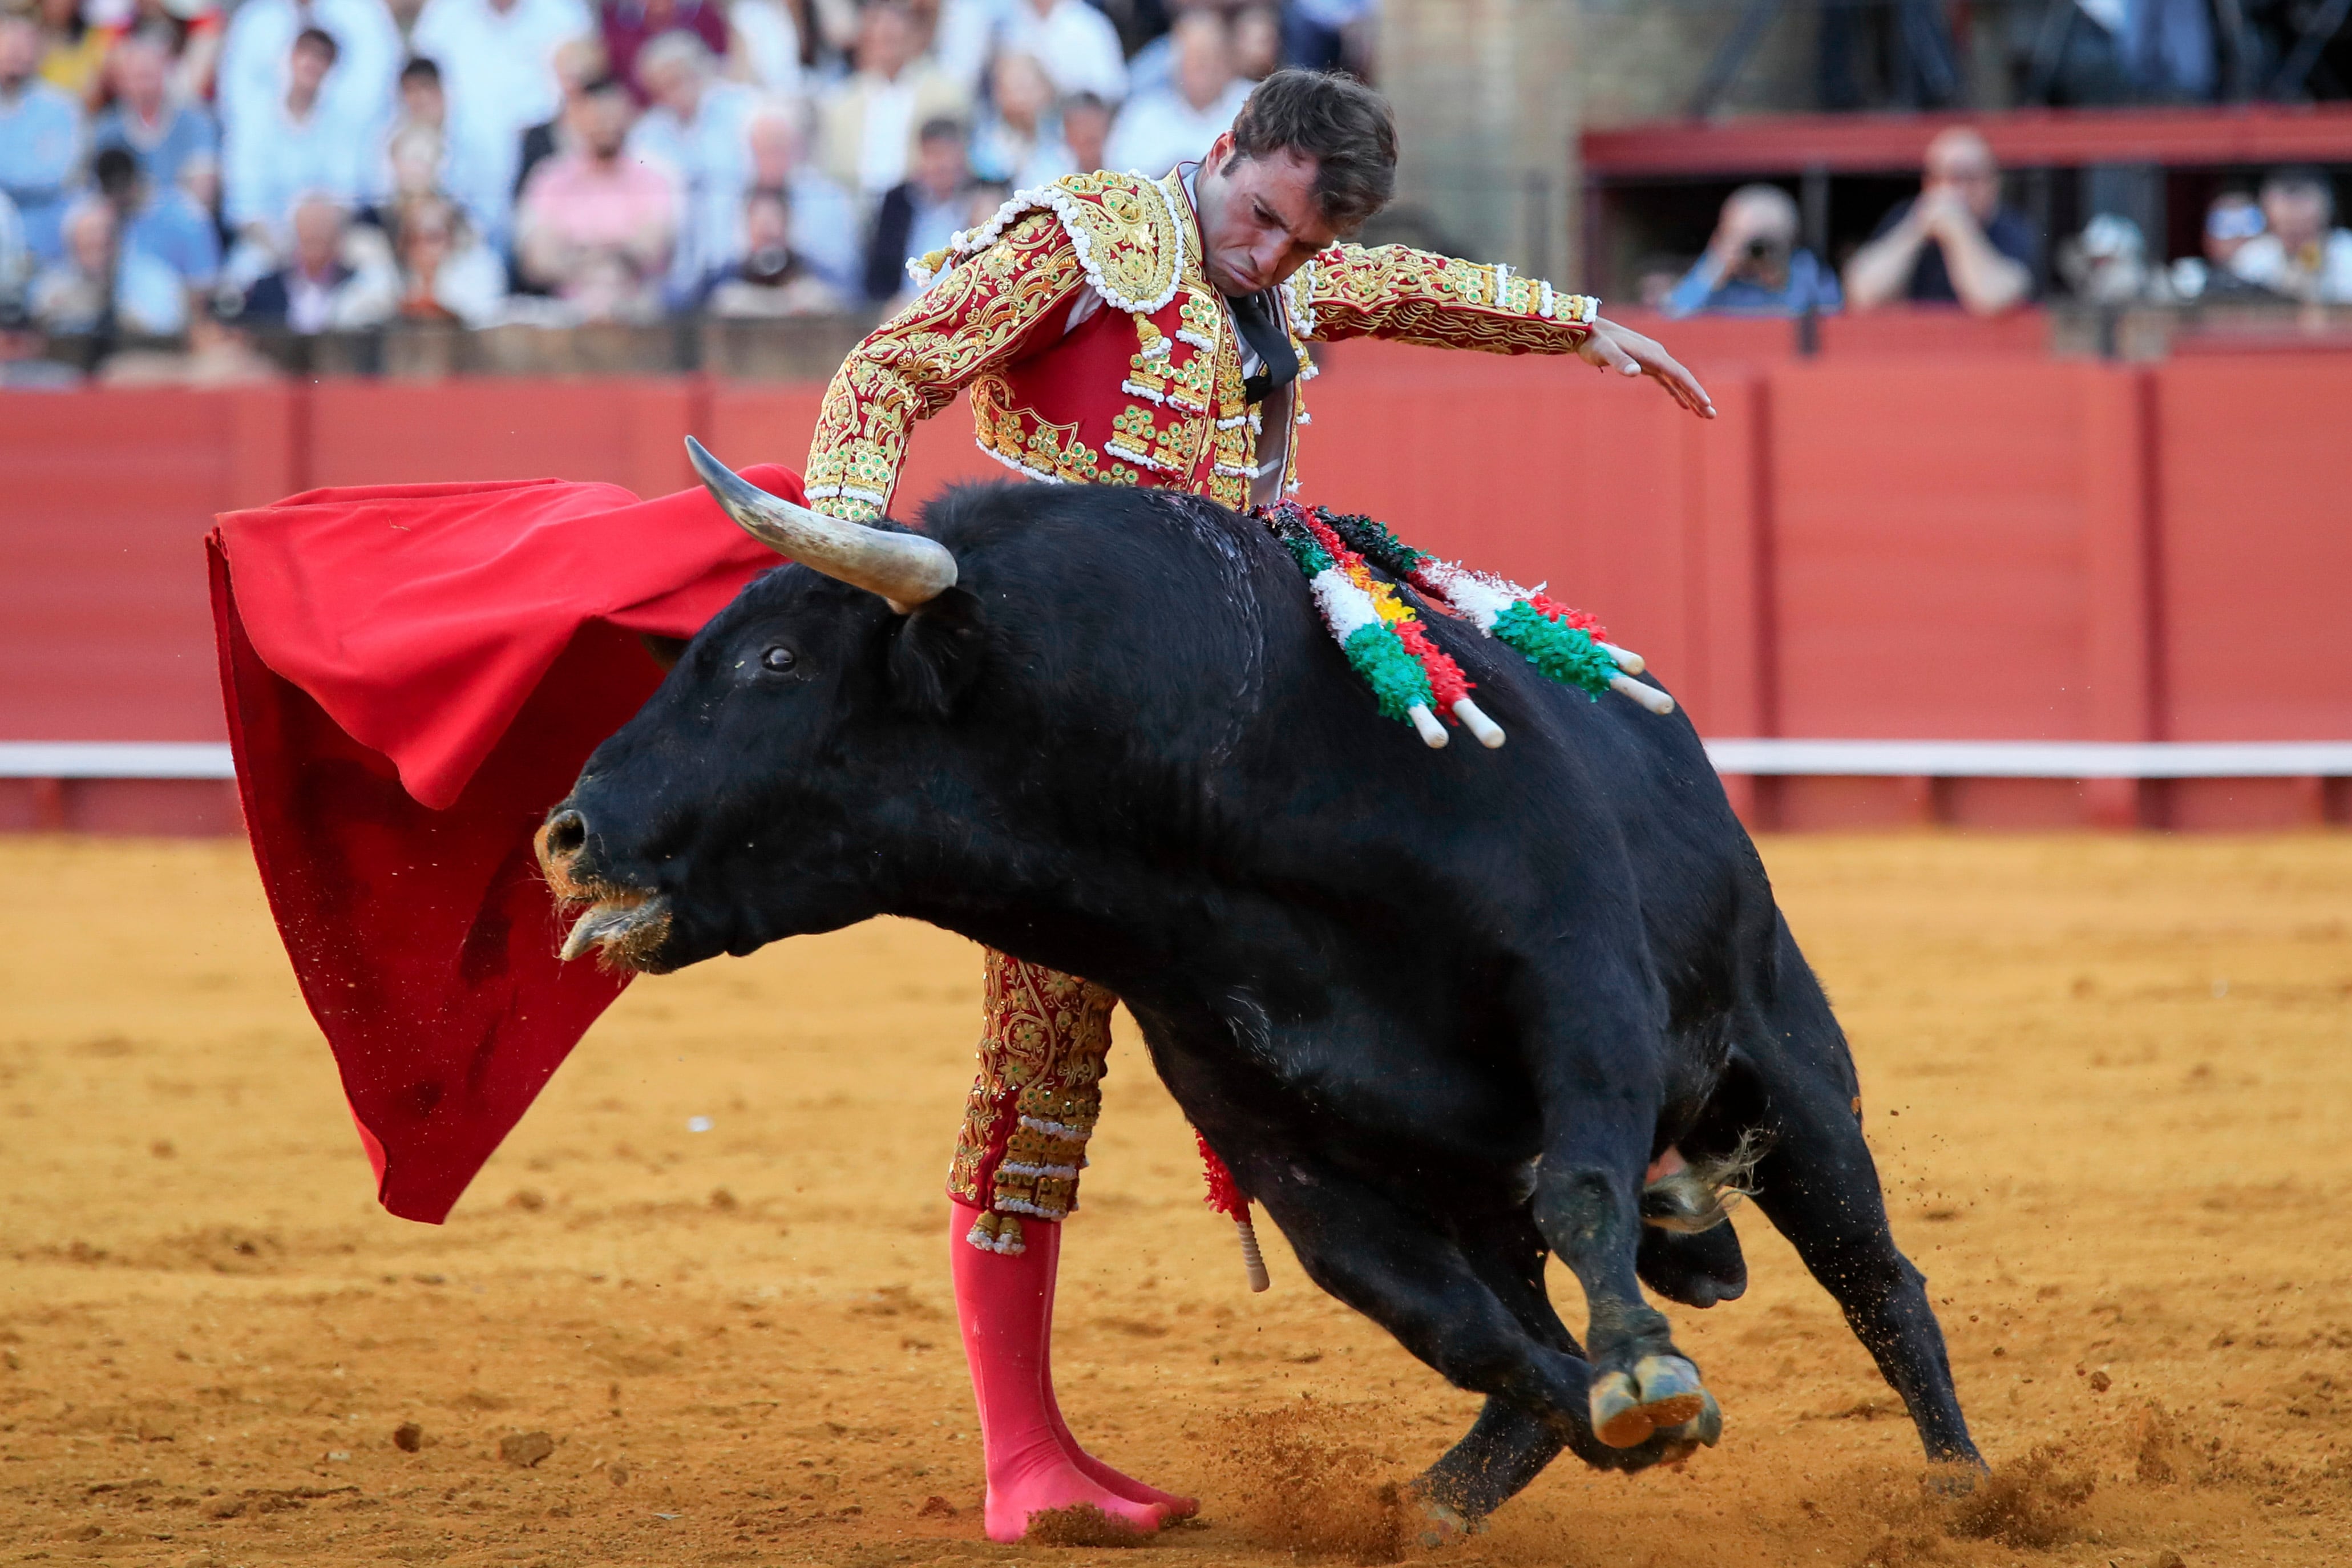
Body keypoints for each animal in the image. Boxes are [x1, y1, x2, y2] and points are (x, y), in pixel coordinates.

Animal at [538, 475, 1985, 1523]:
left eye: (774, 660)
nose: (567, 832)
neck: (1218, 792)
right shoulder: (1273, 1134)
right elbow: (1444, 1323)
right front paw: (1611, 1412)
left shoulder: (1581, 987)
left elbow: (1587, 1190)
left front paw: (1637, 1366)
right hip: (1478, 1183)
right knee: (1520, 1312)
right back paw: (1442, 1500)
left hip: (1786, 1069)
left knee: (1876, 1271)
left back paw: (1966, 1485)